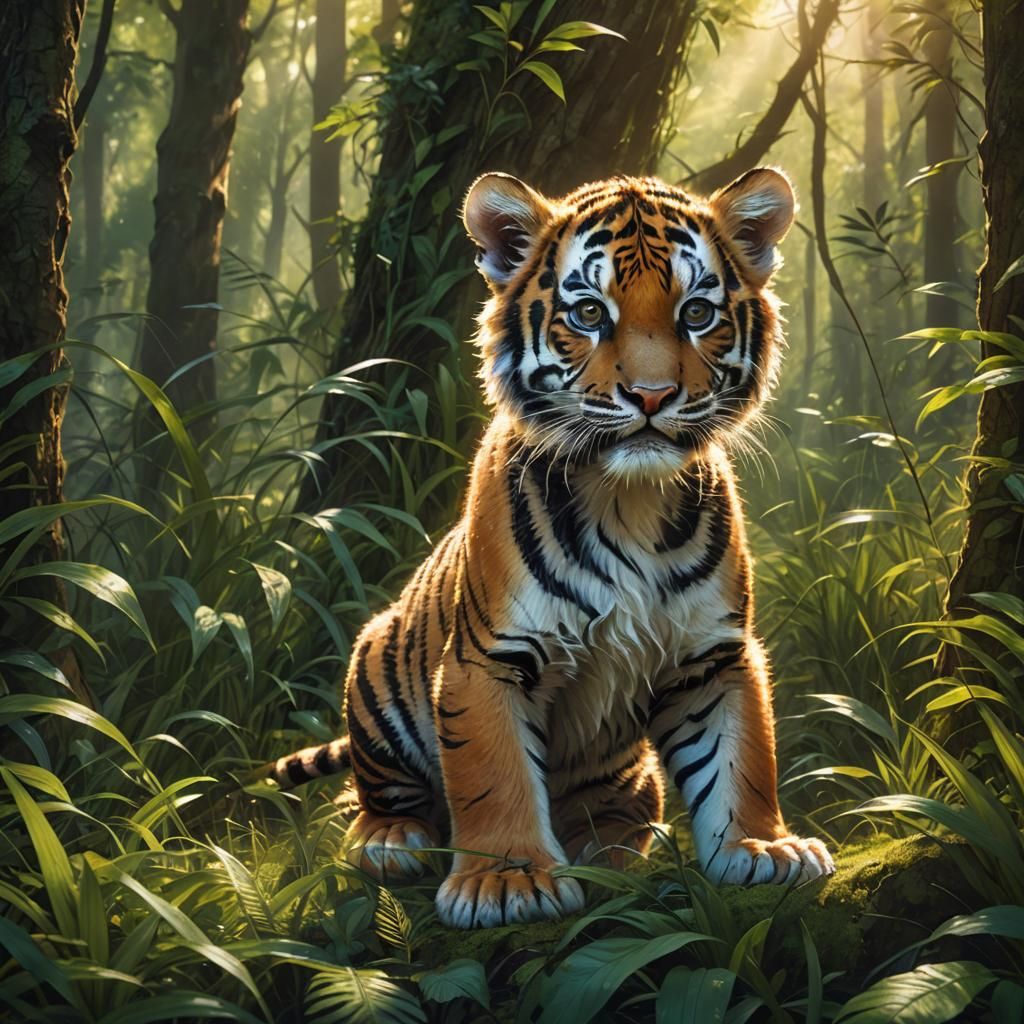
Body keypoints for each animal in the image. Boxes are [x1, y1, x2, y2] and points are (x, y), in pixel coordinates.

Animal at [268, 167, 835, 929]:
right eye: (590, 313)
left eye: (696, 313)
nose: (652, 395)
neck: (628, 500)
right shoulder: (489, 660)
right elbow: (494, 774)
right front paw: (507, 882)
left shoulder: (714, 655)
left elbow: (741, 759)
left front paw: (762, 848)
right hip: (376, 663)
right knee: (376, 794)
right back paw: (392, 841)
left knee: (627, 807)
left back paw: (614, 846)